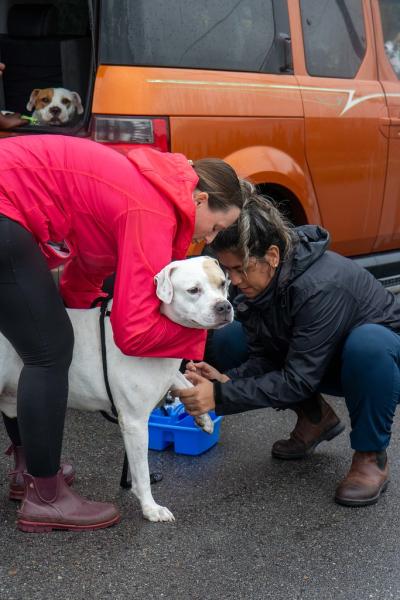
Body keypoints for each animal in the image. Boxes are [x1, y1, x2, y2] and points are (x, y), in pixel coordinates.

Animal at [0, 255, 231, 524]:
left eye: (223, 284)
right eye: (193, 290)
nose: (224, 307)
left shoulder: (166, 374)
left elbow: (184, 383)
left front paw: (202, 416)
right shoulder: (134, 423)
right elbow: (141, 473)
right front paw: (151, 508)